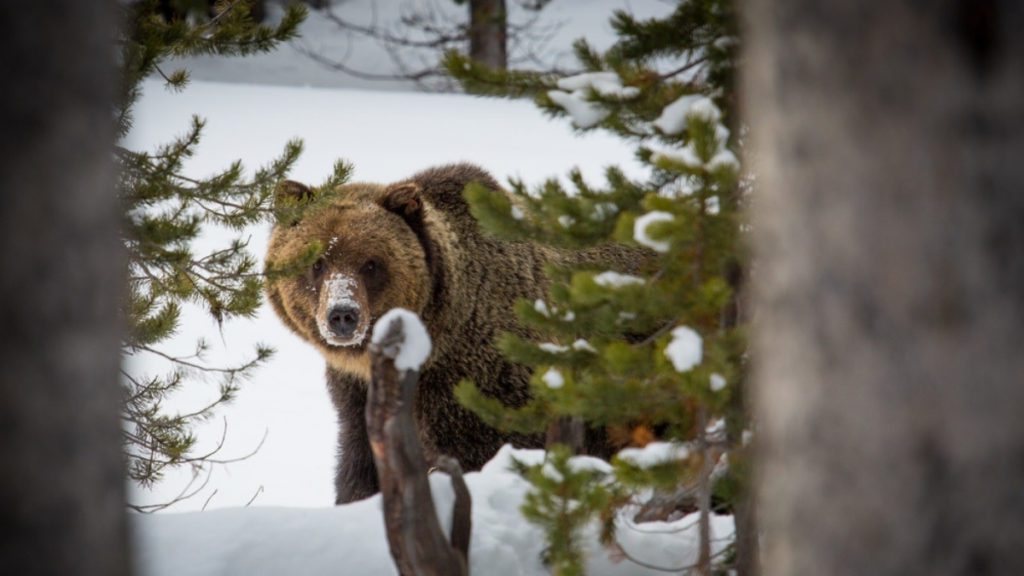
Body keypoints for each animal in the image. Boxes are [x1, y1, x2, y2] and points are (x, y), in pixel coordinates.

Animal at [265, 163, 645, 504]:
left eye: (371, 263)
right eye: (316, 263)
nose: (342, 314)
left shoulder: (478, 384)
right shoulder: (357, 395)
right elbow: (361, 468)